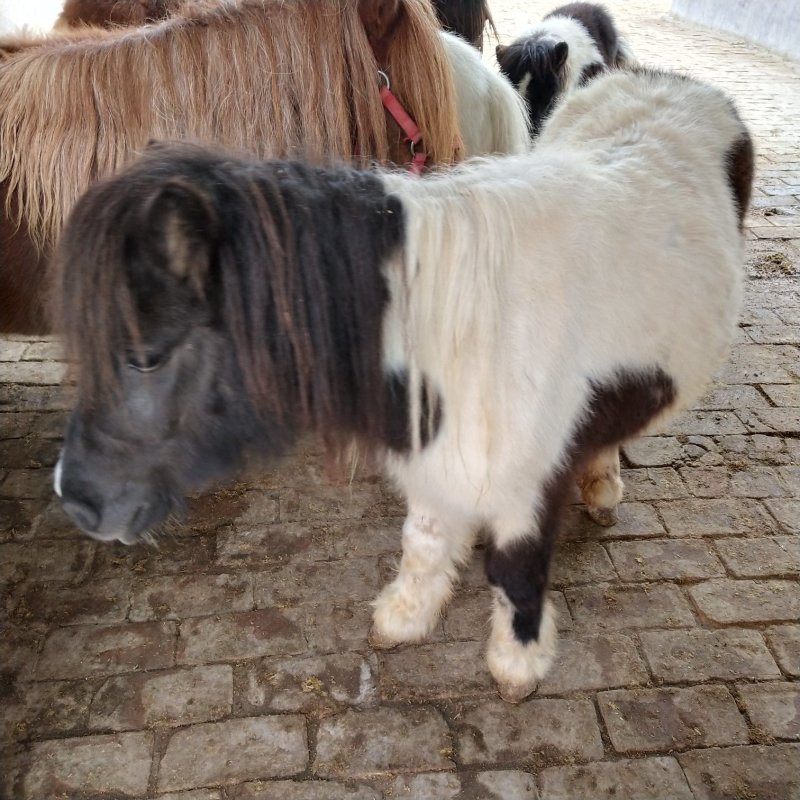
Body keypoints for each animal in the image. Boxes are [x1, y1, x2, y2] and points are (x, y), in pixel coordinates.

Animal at [52, 67, 753, 702]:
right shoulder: (436, 457)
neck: (470, 328)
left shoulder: (527, 485)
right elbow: (423, 541)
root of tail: (665, 79)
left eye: (145, 358)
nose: (75, 499)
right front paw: (406, 617)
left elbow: (517, 572)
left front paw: (516, 665)